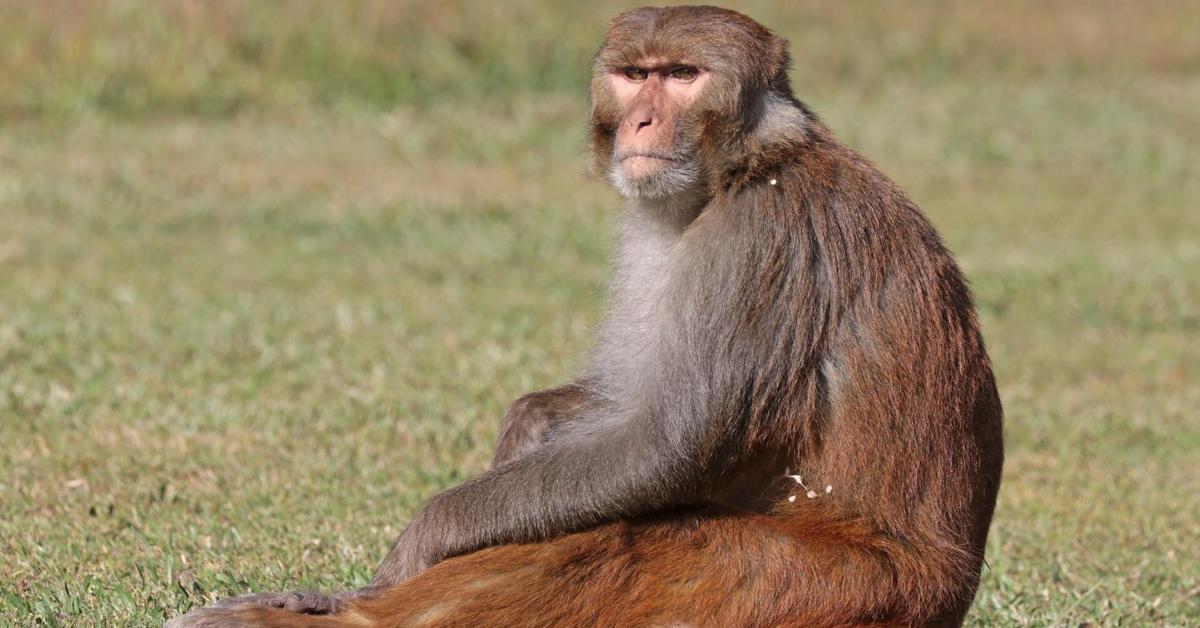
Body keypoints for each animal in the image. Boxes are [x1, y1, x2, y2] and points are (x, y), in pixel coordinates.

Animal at [166, 6, 1003, 628]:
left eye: (683, 76)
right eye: (636, 76)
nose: (642, 126)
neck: (740, 169)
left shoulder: (762, 239)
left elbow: (665, 445)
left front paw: (412, 552)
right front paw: (528, 423)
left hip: (809, 586)